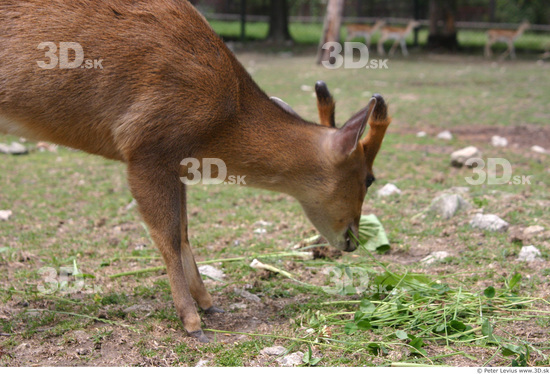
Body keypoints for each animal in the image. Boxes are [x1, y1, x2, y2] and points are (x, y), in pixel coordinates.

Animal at [0, 0, 392, 342]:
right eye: (369, 177)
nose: (352, 240)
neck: (223, 120)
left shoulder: (177, 162)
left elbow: (185, 232)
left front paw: (209, 304)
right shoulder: (145, 149)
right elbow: (168, 237)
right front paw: (192, 323)